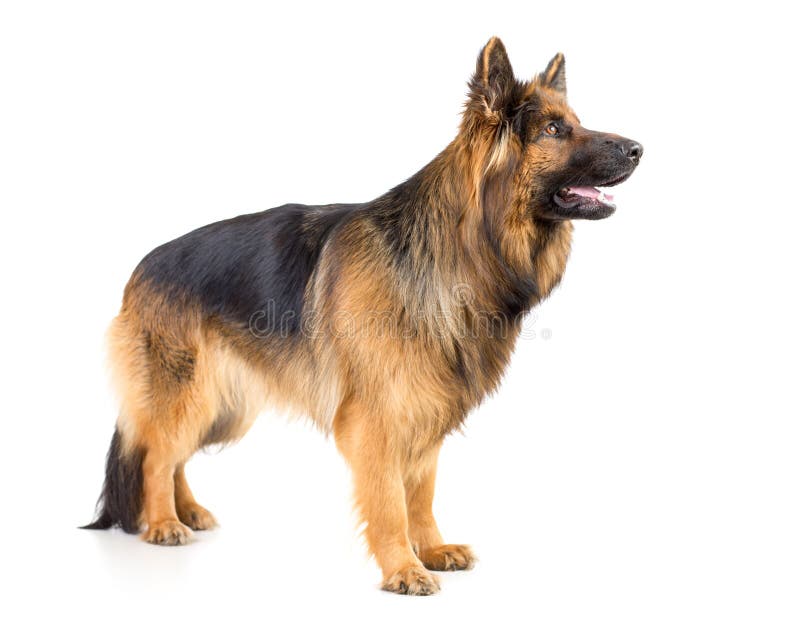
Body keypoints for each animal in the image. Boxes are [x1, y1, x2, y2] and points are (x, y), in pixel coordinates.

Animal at [83, 37, 644, 596]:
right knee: (156, 453)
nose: (639, 149)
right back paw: (163, 522)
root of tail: (141, 268)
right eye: (553, 130)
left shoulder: (425, 408)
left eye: (574, 122)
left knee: (172, 451)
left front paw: (432, 549)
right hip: (190, 394)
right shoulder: (376, 420)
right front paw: (403, 568)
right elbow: (391, 502)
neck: (454, 248)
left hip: (223, 406)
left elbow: (420, 494)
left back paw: (188, 511)